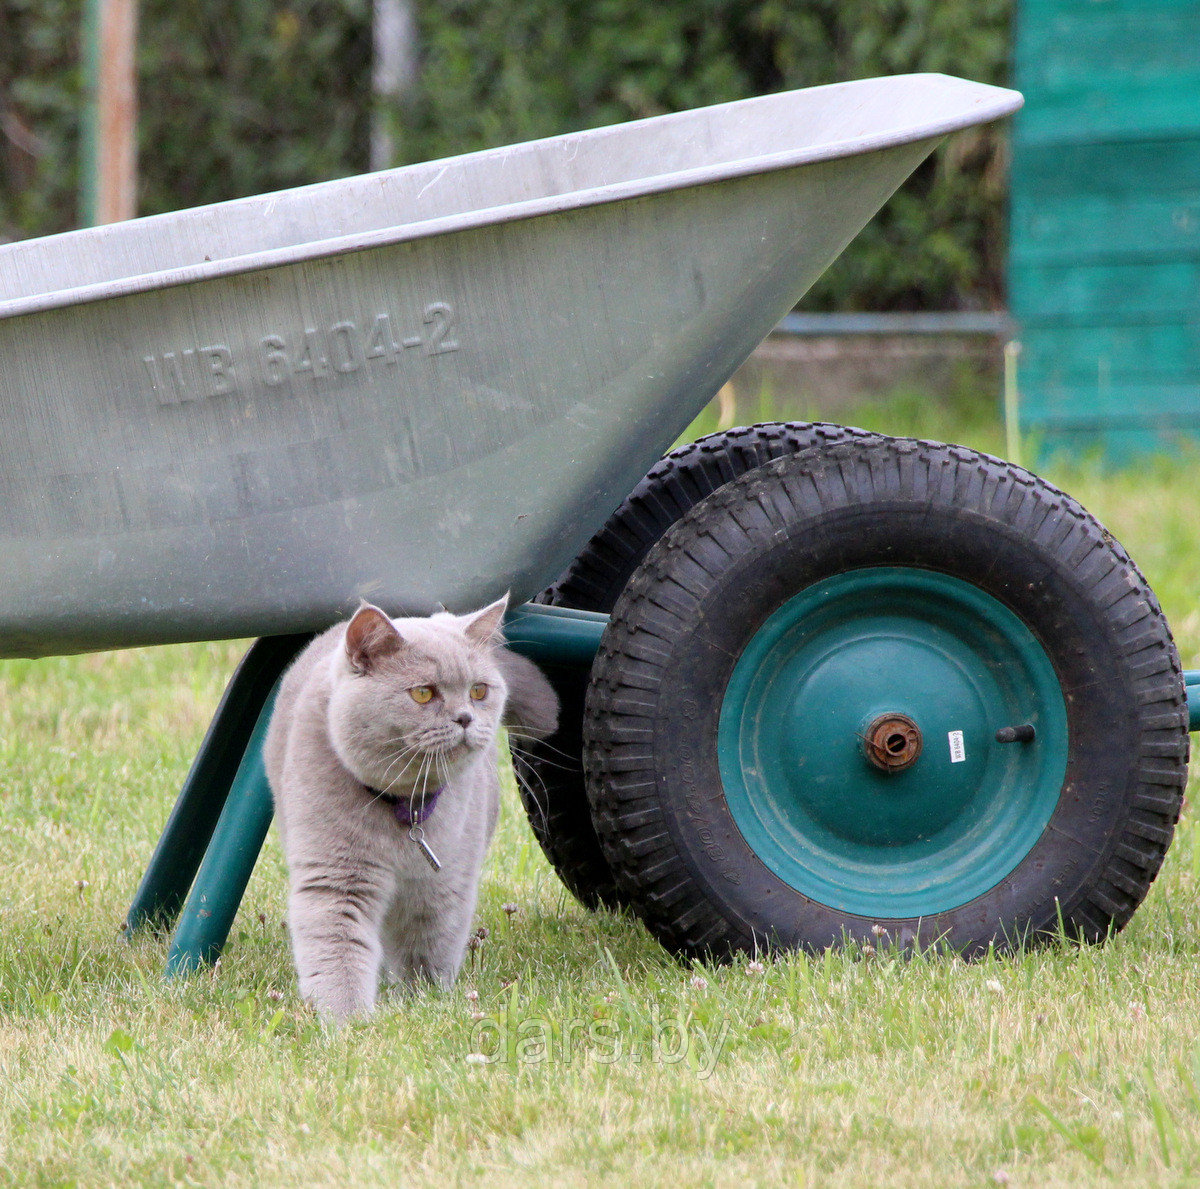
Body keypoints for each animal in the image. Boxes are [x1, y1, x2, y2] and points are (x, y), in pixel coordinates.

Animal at [265, 595, 554, 1022]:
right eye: (423, 694)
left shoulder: (444, 881)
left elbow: (430, 945)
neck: (407, 808)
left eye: (479, 691)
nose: (466, 717)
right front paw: (347, 1020)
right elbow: (339, 948)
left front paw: (427, 999)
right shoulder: (337, 876)